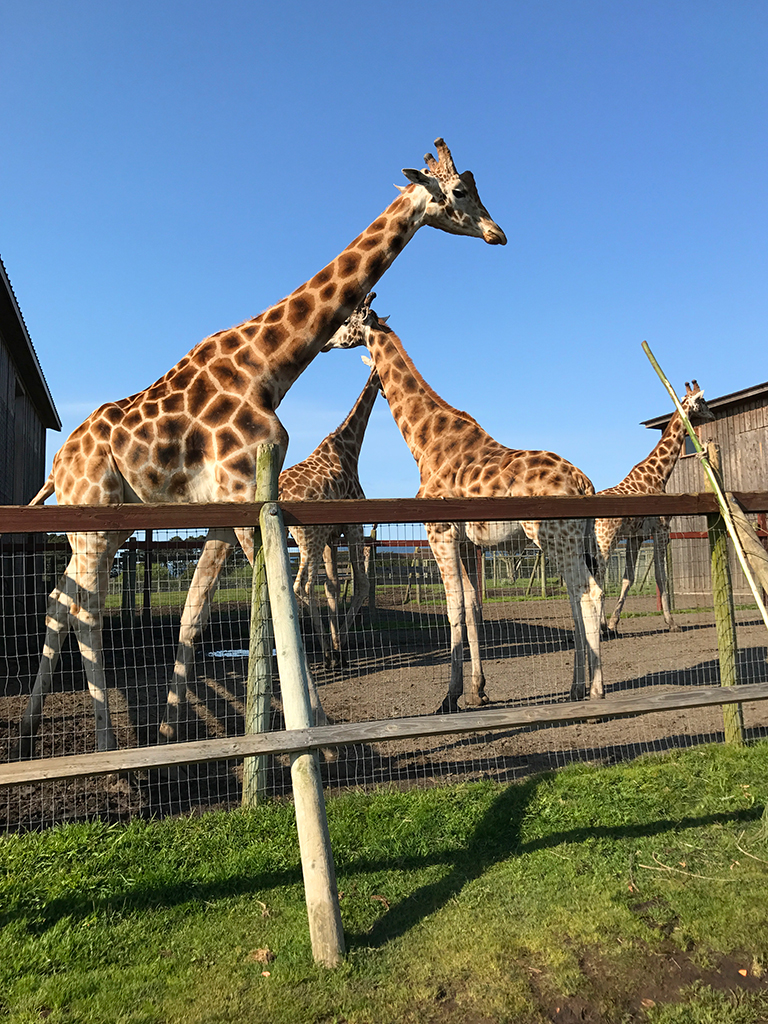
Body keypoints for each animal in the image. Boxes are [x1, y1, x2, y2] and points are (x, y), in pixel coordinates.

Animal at [280, 372, 382, 667]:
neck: (349, 449)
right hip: (309, 538)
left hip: (299, 537)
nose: (386, 389)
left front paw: (338, 649)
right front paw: (338, 648)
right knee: (301, 585)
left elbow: (333, 586)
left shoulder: (331, 537)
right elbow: (361, 585)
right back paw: (322, 653)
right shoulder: (354, 526)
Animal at [325, 294, 606, 712]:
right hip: (569, 542)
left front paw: (449, 696)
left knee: (588, 593)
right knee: (576, 596)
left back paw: (596, 691)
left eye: (346, 319)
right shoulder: (469, 541)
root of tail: (585, 484)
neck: (424, 441)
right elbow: (474, 604)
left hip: (556, 538)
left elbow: (453, 606)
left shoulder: (439, 532)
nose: (325, 342)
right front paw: (478, 689)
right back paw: (575, 688)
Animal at [593, 385, 716, 634]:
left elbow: (628, 578)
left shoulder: (636, 537)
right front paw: (672, 623)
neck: (659, 474)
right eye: (704, 401)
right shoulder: (660, 531)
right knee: (598, 578)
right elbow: (661, 576)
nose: (713, 415)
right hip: (606, 539)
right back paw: (597, 629)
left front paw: (613, 623)